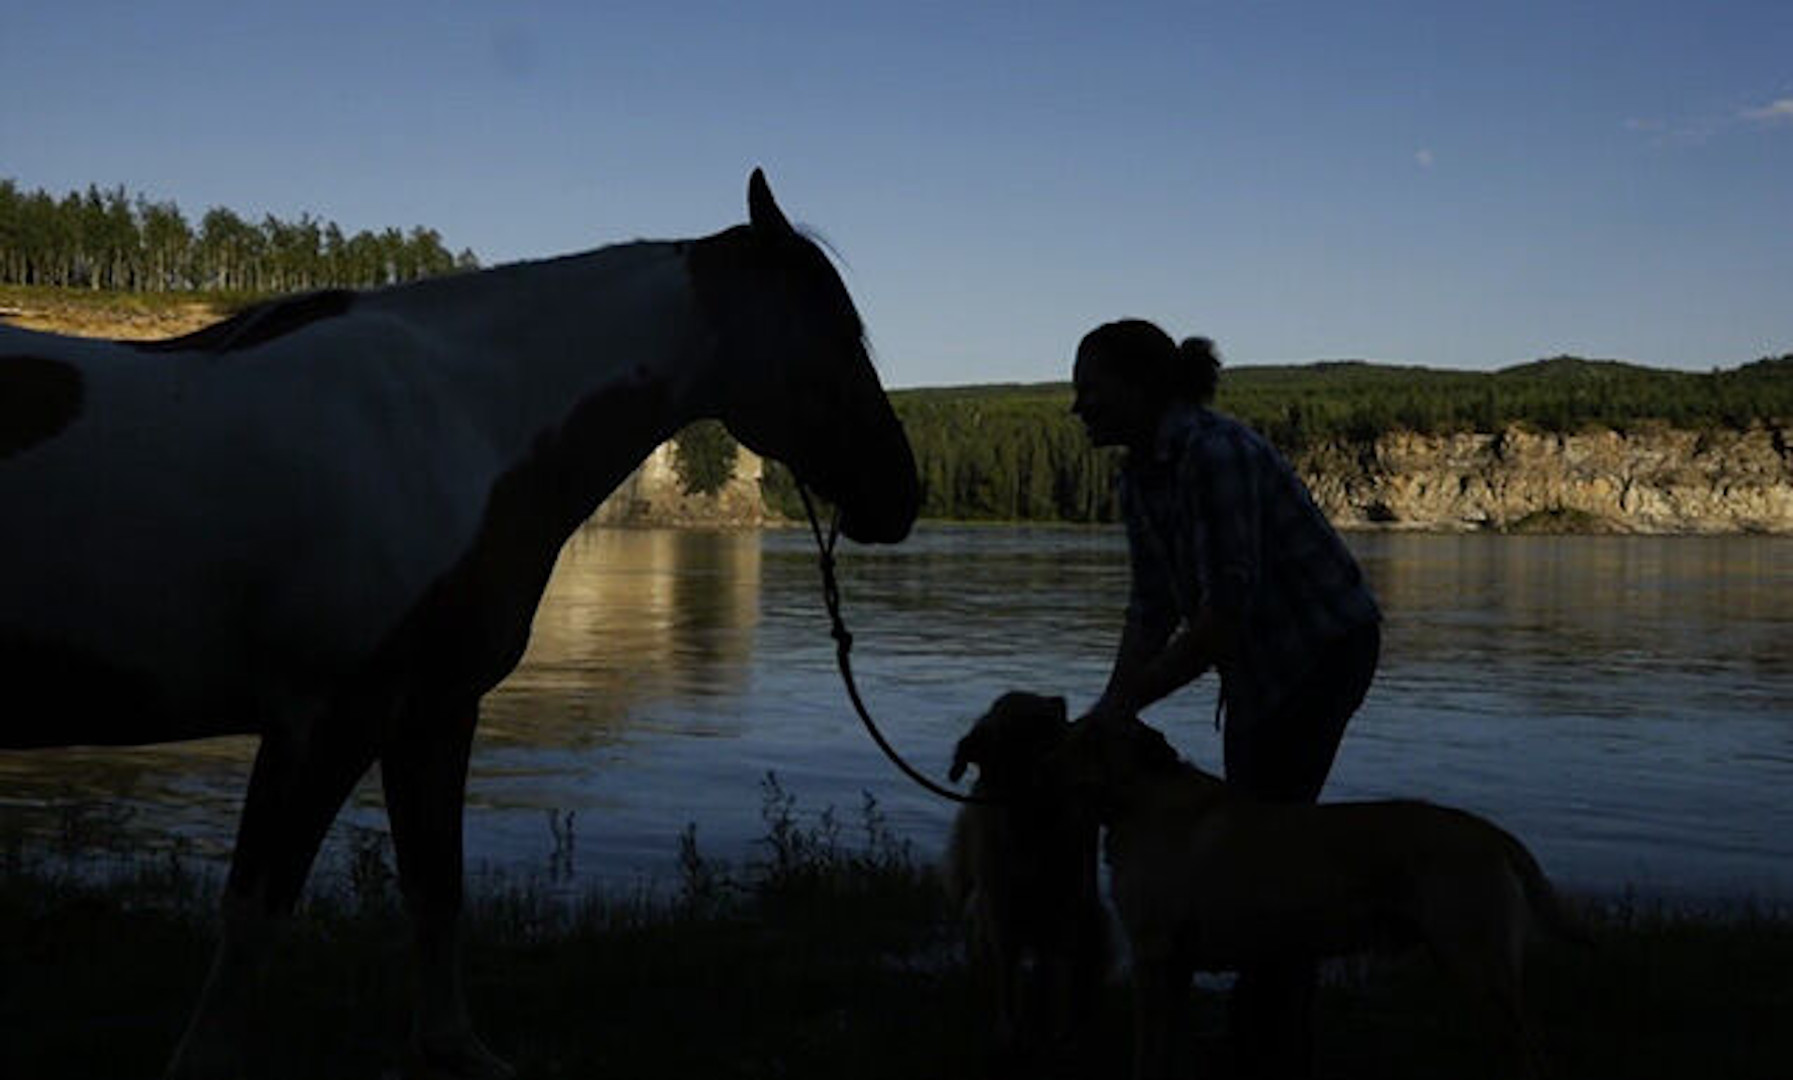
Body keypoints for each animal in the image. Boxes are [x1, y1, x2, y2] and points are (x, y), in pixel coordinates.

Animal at [0, 172, 918, 1069]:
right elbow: (256, 909)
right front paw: (205, 1062)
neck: (453, 429)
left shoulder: (432, 710)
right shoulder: (326, 716)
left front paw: (451, 1048)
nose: (901, 492)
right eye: (837, 331)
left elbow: (435, 891)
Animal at [953, 688, 1104, 1069]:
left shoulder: (1062, 913)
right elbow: (1007, 981)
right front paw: (1008, 1037)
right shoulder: (1001, 913)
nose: (1061, 700)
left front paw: (1060, 1039)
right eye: (1030, 716)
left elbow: (1056, 979)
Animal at [1054, 710, 1592, 1069]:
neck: (1139, 798)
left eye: (1086, 739)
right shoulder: (1175, 962)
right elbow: (1164, 1042)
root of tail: (1488, 831)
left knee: (1531, 1046)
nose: (1044, 755)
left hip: (1477, 959)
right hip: (1464, 960)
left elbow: (1146, 1046)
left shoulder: (1152, 953)